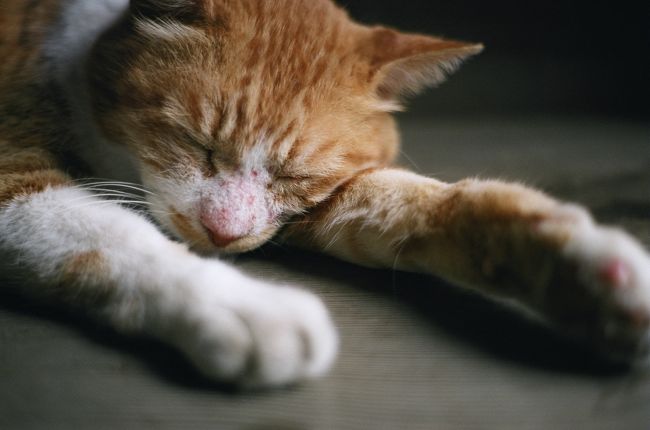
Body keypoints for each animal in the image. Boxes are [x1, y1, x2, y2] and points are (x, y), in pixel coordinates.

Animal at [1, 0, 648, 388]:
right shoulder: (13, 177)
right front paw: (242, 306)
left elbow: (428, 201)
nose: (223, 233)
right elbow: (109, 235)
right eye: (198, 144)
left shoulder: (322, 202)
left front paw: (584, 271)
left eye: (296, 176)